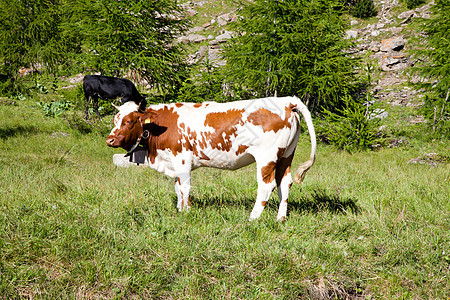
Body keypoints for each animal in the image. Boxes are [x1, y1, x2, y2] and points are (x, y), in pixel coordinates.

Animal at [106, 96, 316, 220]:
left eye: (129, 121)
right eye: (115, 120)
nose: (110, 139)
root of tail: (286, 101)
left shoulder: (181, 157)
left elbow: (185, 187)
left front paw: (187, 212)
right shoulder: (173, 162)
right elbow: (177, 187)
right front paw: (180, 209)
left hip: (267, 157)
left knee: (266, 185)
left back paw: (253, 218)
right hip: (286, 154)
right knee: (284, 183)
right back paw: (280, 218)